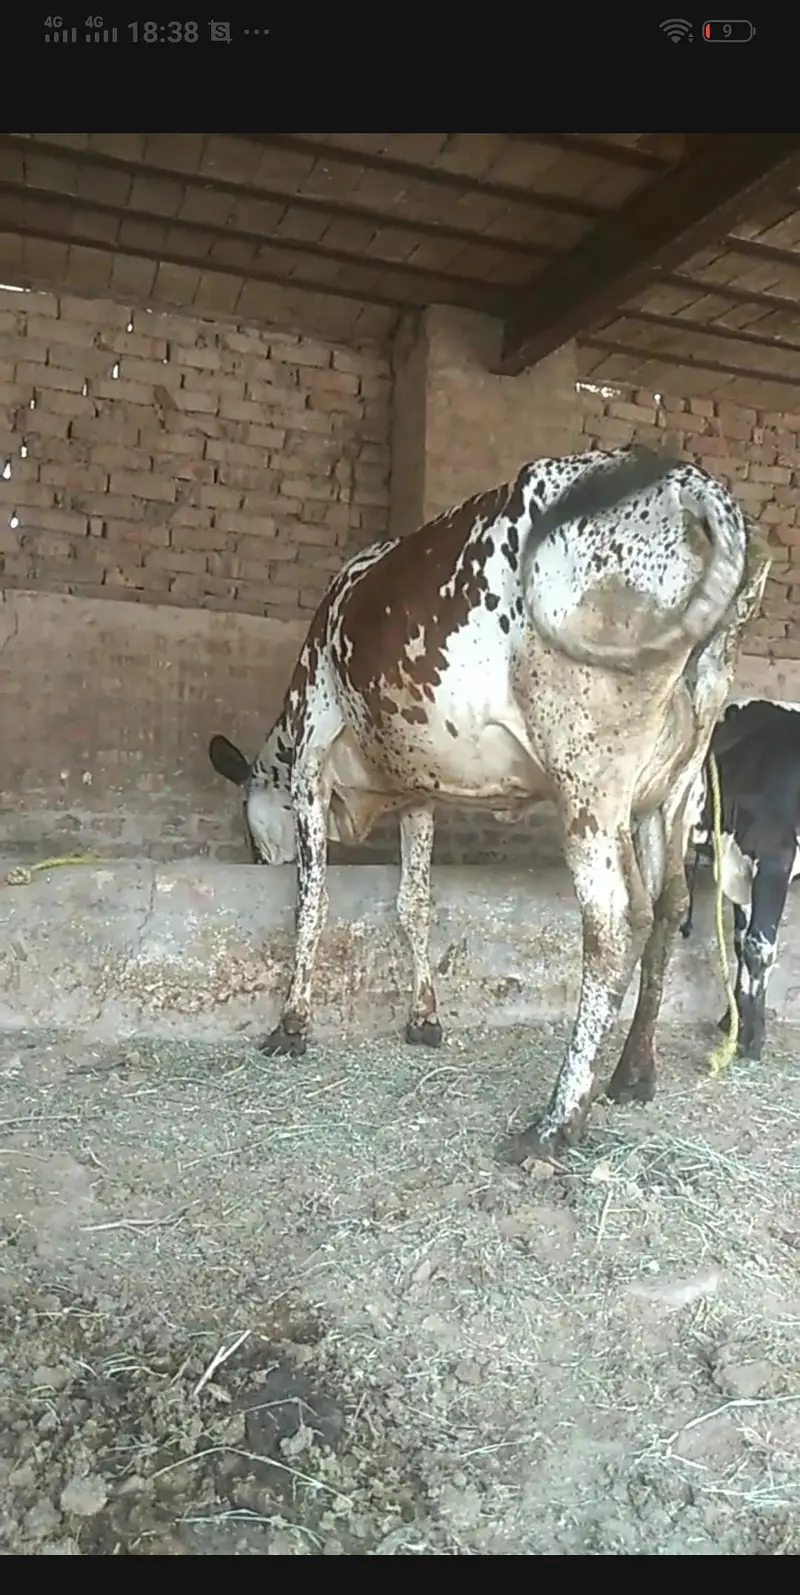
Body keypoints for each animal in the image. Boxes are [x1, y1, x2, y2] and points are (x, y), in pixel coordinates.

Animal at [208, 444, 770, 1161]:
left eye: (250, 832)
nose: (257, 863)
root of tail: (690, 481)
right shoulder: (419, 790)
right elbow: (414, 904)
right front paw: (424, 1017)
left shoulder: (311, 758)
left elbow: (314, 903)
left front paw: (291, 1025)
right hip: (674, 784)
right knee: (670, 905)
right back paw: (632, 1074)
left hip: (588, 772)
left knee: (617, 923)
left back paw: (556, 1121)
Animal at [681, 697, 800, 1060]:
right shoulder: (738, 870)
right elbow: (739, 942)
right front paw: (731, 1021)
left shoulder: (775, 861)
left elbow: (758, 946)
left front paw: (752, 1040)